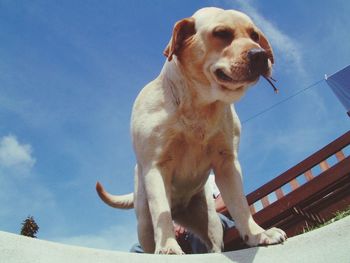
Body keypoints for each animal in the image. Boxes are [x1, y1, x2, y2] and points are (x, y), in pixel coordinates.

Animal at [95, 7, 284, 255]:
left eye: (254, 35)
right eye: (221, 33)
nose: (260, 55)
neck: (201, 104)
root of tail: (180, 210)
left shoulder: (227, 164)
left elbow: (241, 206)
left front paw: (258, 234)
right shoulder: (156, 167)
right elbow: (161, 214)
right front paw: (167, 246)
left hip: (210, 222)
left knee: (213, 246)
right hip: (143, 223)